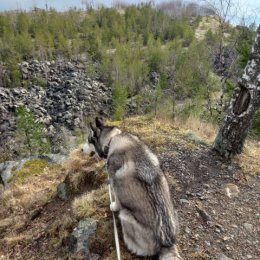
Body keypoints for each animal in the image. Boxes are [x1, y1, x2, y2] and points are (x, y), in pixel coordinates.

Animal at [88, 118, 182, 260]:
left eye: (88, 140)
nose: (81, 150)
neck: (112, 138)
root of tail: (166, 244)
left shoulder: (114, 183)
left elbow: (117, 200)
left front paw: (113, 206)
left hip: (125, 216)